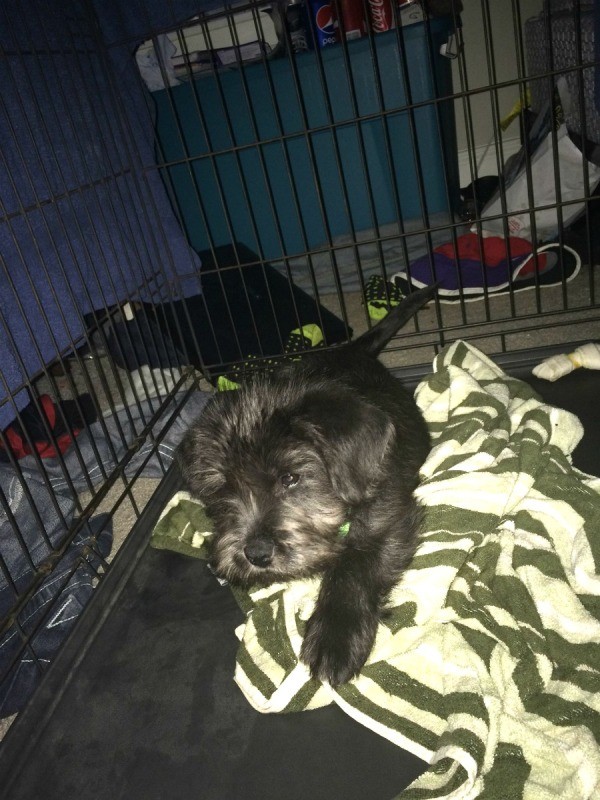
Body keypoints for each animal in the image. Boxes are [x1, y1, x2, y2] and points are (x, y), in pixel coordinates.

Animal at [179, 284, 436, 684]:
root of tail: (350, 349)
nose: (256, 554)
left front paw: (335, 635)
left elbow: (355, 564)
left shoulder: (388, 516)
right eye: (224, 490)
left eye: (290, 478)